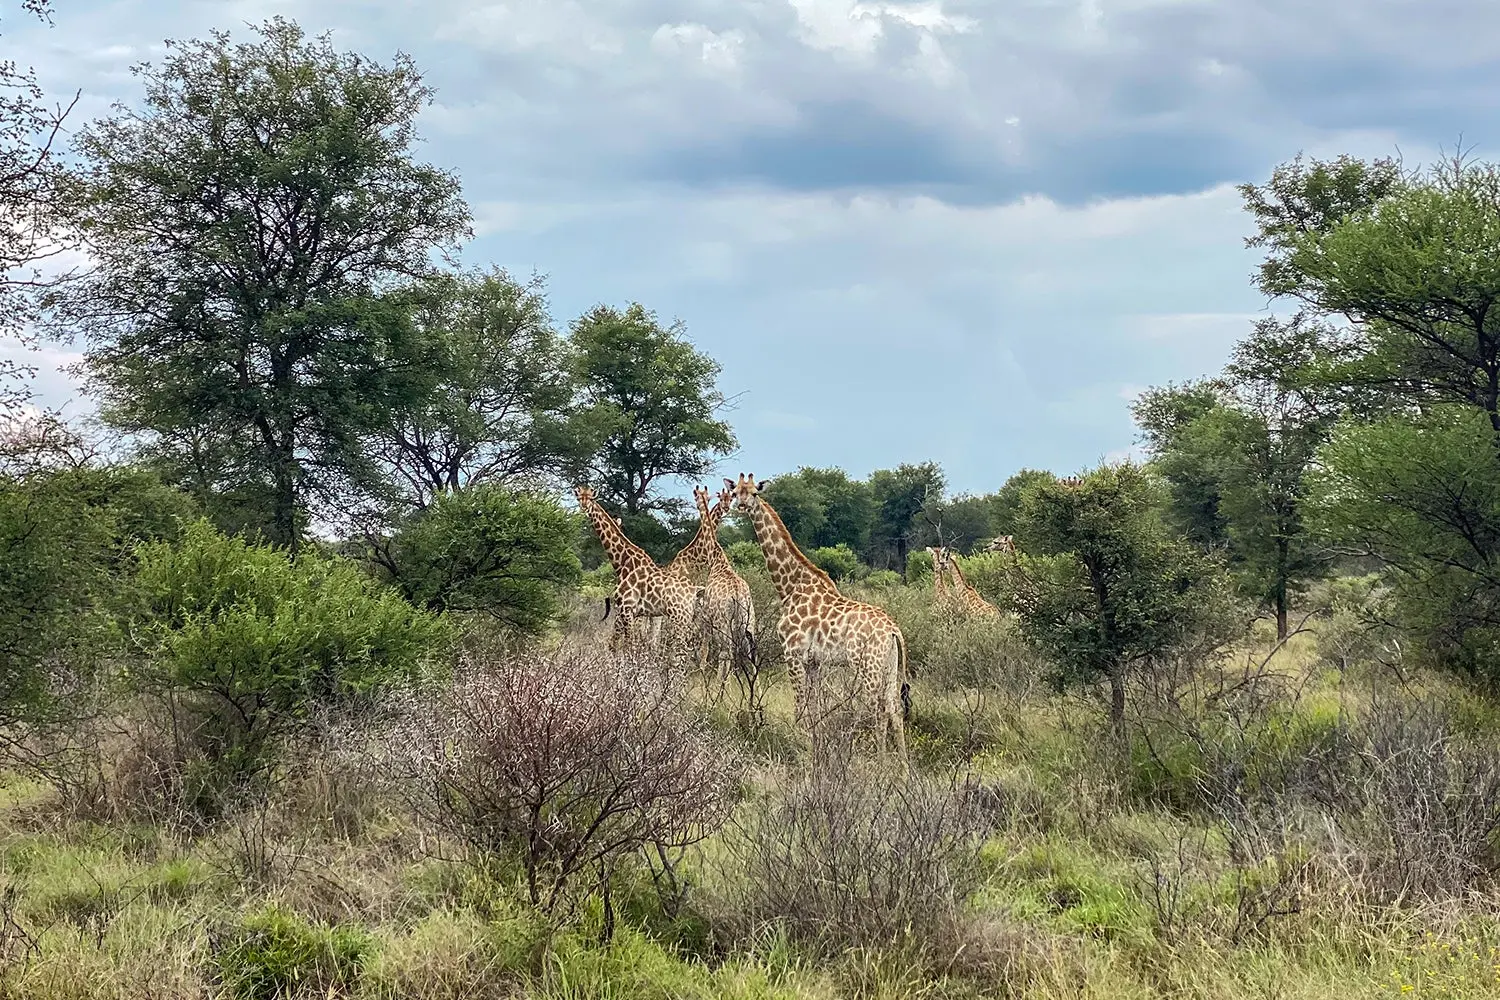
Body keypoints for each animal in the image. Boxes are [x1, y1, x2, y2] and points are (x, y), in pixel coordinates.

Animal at [573, 485, 702, 671]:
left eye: (590, 498)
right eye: (579, 498)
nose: (584, 508)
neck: (622, 562)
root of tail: (694, 591)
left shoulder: (627, 610)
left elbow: (629, 647)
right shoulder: (624, 611)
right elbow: (616, 645)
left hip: (679, 618)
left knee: (682, 653)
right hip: (685, 617)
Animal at [723, 473, 900, 755]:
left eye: (754, 493)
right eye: (735, 491)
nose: (739, 505)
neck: (789, 586)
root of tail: (894, 631)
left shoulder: (792, 653)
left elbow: (799, 705)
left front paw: (798, 743)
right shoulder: (814, 662)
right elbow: (814, 706)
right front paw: (815, 742)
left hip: (866, 665)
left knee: (878, 709)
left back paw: (879, 758)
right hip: (889, 667)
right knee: (895, 709)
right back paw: (902, 763)